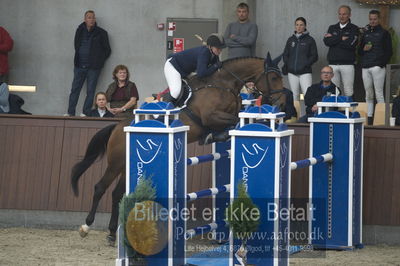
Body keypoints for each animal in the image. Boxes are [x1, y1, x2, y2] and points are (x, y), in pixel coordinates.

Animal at [70, 52, 286, 245]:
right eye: (274, 77)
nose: (281, 103)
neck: (224, 84)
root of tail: (117, 127)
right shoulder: (211, 116)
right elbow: (232, 121)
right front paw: (217, 135)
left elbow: (235, 120)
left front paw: (221, 134)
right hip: (115, 163)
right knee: (100, 188)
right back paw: (86, 227)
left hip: (125, 166)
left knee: (116, 194)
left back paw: (112, 234)